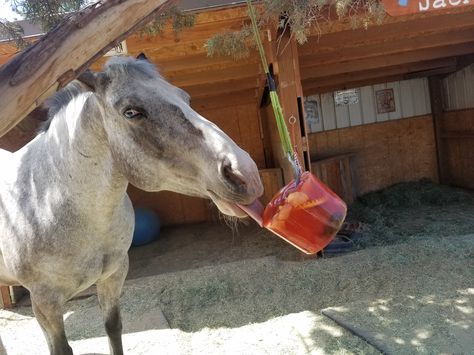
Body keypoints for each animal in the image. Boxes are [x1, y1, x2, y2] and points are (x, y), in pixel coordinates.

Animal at [0, 53, 262, 355]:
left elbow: (113, 328)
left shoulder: (114, 276)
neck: (49, 199)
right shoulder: (45, 303)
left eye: (185, 97)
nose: (245, 174)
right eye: (131, 112)